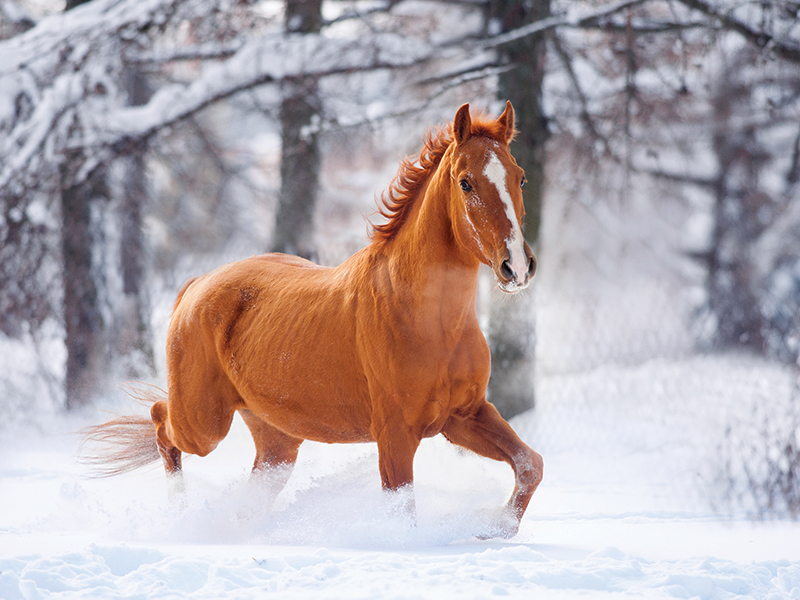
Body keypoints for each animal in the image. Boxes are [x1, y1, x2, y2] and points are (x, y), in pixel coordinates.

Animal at [81, 101, 543, 538]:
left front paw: (495, 528)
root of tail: (195, 286)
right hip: (203, 424)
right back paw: (180, 514)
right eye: (466, 182)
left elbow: (530, 464)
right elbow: (403, 509)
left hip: (277, 439)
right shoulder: (396, 433)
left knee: (250, 485)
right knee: (161, 422)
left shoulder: (464, 416)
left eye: (520, 178)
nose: (517, 267)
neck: (429, 321)